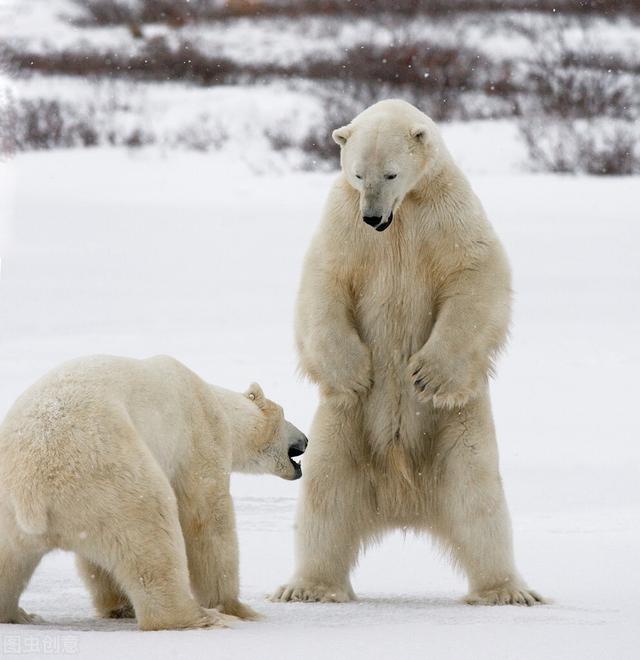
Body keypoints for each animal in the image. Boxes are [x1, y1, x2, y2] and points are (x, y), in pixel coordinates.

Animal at [0, 356, 308, 628]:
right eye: (286, 415)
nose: (306, 439)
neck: (215, 401)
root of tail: (30, 489)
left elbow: (96, 565)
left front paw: (119, 606)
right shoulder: (200, 436)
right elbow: (207, 517)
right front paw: (235, 606)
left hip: (13, 512)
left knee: (9, 562)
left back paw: (20, 614)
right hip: (107, 478)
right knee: (151, 534)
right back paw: (199, 616)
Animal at [272, 99, 544, 608]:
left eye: (392, 173)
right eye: (358, 173)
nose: (373, 217)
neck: (403, 217)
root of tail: (403, 502)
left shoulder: (449, 213)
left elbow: (475, 272)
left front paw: (427, 374)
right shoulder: (342, 222)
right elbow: (324, 281)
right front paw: (355, 371)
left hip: (458, 429)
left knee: (479, 503)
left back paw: (507, 591)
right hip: (342, 426)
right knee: (324, 498)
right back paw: (307, 587)